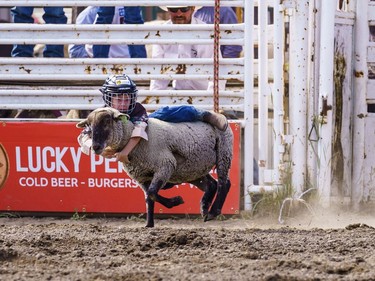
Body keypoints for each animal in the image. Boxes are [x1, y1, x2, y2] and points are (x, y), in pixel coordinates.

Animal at [77, 106, 234, 226]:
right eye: (89, 125)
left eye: (107, 121)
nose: (95, 147)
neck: (134, 140)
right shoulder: (141, 177)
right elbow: (149, 197)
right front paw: (149, 224)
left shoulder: (165, 165)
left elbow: (152, 193)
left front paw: (176, 201)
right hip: (194, 169)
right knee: (212, 184)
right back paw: (204, 208)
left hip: (224, 153)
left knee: (223, 183)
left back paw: (213, 211)